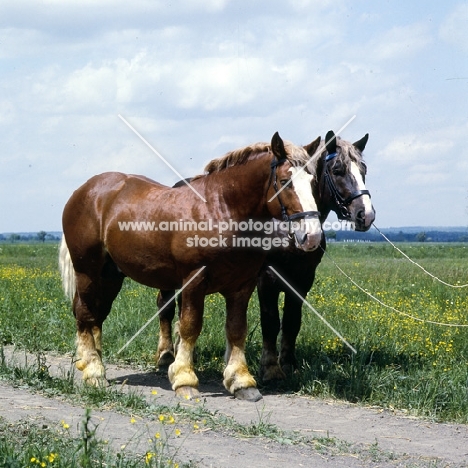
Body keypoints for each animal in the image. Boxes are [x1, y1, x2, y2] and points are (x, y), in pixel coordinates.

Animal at [58, 133, 322, 402]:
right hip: (87, 272)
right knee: (85, 314)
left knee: (96, 315)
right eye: (284, 181)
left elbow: (237, 329)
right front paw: (184, 379)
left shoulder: (242, 286)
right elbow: (190, 326)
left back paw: (91, 361)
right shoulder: (195, 280)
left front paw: (241, 382)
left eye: (313, 181)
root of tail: (85, 190)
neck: (221, 209)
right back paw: (94, 372)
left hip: (110, 275)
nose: (311, 236)